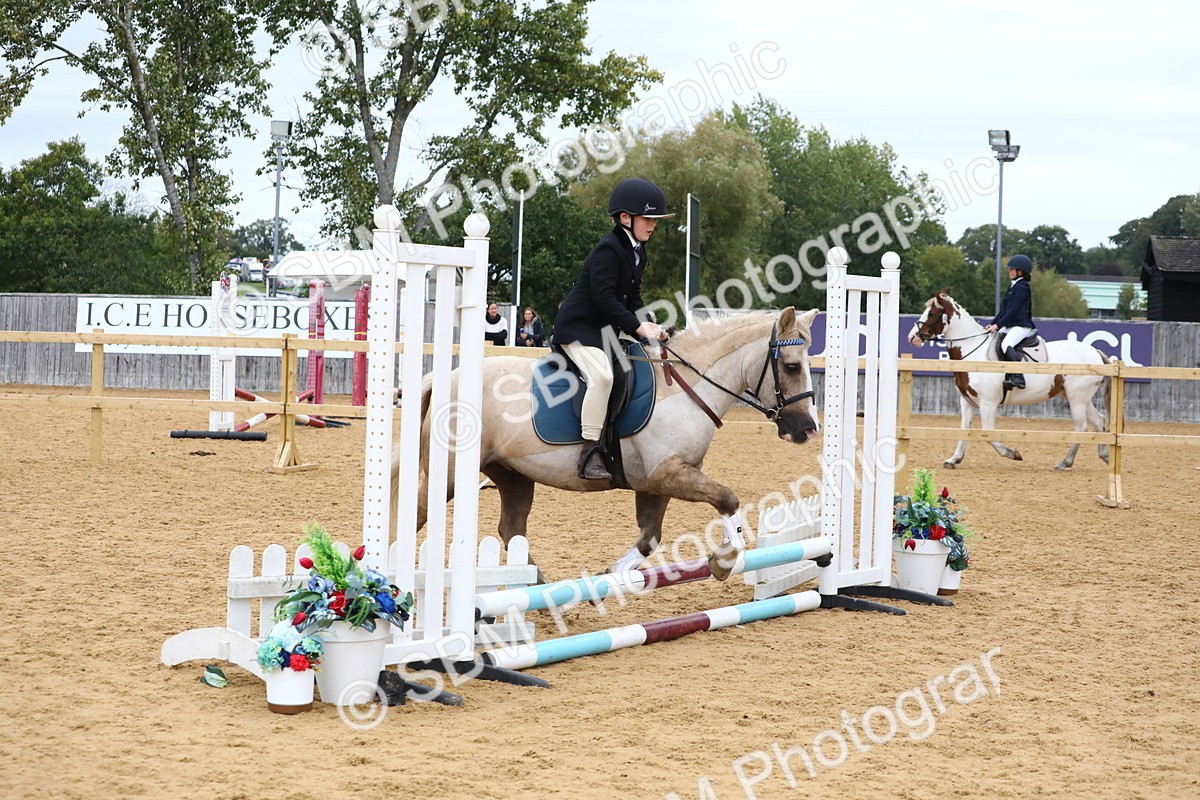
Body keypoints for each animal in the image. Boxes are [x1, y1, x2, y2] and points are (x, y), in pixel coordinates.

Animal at [392, 307, 821, 583]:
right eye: (791, 367)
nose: (807, 429)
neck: (686, 389)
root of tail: (445, 378)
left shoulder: (659, 482)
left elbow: (650, 537)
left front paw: (614, 574)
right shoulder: (667, 474)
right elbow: (727, 499)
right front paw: (725, 561)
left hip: (513, 474)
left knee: (511, 528)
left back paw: (539, 588)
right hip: (449, 476)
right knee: (417, 513)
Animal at [908, 291, 1112, 470]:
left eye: (932, 313)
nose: (912, 338)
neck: (973, 351)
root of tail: (1095, 352)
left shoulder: (988, 403)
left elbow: (987, 433)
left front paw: (1013, 453)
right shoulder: (967, 401)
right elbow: (964, 428)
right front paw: (954, 459)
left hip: (1077, 398)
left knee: (1081, 427)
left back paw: (1065, 462)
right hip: (1076, 397)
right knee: (1099, 421)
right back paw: (1103, 456)